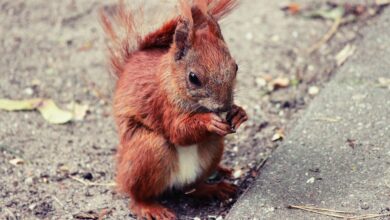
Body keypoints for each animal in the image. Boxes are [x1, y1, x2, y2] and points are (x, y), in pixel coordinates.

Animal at [100, 0, 247, 219]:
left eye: (235, 67)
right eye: (193, 78)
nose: (224, 106)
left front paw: (239, 113)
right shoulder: (163, 104)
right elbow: (177, 131)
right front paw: (209, 122)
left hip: (213, 149)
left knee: (193, 188)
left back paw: (214, 187)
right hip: (148, 150)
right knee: (135, 195)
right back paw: (148, 207)